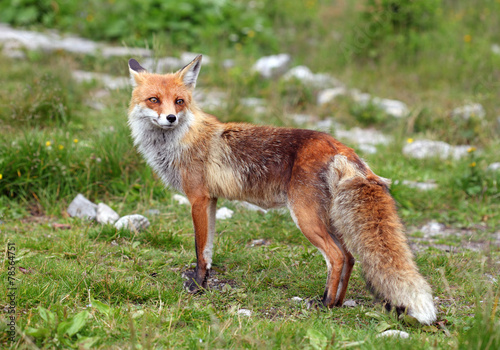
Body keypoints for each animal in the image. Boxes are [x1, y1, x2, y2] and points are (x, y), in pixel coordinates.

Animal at [128, 55, 438, 326]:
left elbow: (200, 250)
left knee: (337, 257)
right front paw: (203, 283)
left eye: (179, 102)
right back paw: (336, 303)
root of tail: (339, 146)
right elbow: (209, 248)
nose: (170, 118)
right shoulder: (211, 200)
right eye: (154, 99)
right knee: (350, 256)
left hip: (306, 218)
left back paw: (325, 304)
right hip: (328, 218)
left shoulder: (197, 199)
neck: (181, 141)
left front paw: (196, 286)